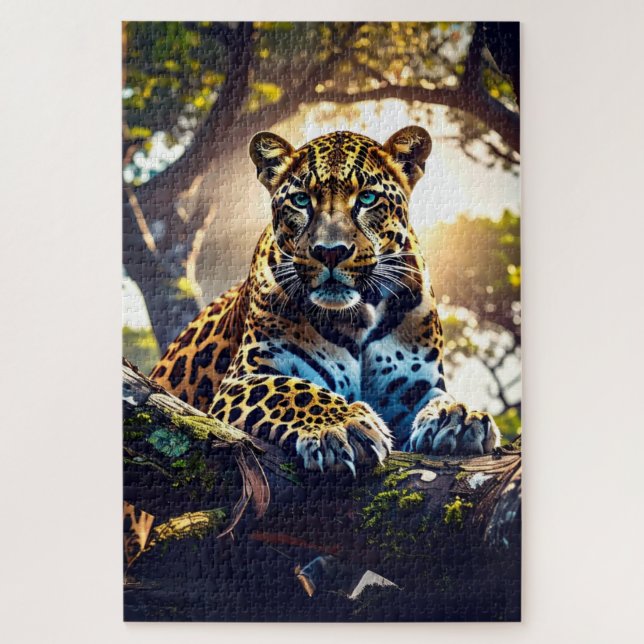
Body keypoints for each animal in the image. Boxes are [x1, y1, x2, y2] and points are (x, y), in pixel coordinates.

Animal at [150, 126, 501, 474]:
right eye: (301, 200)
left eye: (367, 198)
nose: (330, 251)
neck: (358, 315)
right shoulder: (242, 378)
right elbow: (291, 390)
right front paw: (341, 425)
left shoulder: (411, 386)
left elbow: (439, 397)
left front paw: (459, 417)